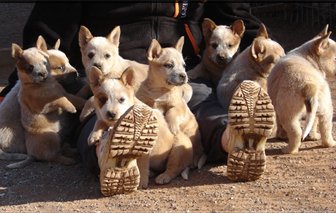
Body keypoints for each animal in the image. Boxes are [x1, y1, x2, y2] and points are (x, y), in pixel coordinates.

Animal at [137, 37, 205, 180]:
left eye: (184, 66)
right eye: (168, 65)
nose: (184, 75)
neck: (159, 90)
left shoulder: (178, 105)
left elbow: (172, 111)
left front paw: (172, 127)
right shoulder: (145, 100)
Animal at [268, 25, 336, 154]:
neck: (308, 55)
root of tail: (309, 86)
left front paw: (282, 136)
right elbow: (314, 122)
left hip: (288, 113)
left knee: (296, 132)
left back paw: (289, 150)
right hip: (326, 107)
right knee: (325, 127)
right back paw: (330, 143)